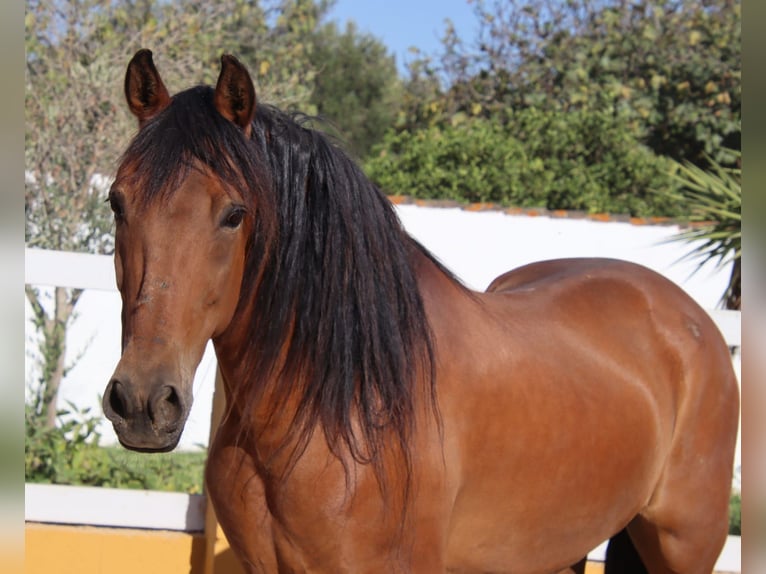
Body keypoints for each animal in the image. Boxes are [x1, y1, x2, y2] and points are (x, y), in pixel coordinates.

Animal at [105, 50, 740, 574]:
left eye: (234, 214)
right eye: (117, 202)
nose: (143, 402)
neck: (338, 406)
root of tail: (693, 320)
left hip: (683, 545)